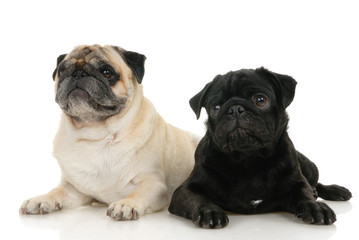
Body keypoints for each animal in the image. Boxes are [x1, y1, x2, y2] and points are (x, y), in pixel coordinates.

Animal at [19, 44, 200, 220]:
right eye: (62, 70)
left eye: (107, 72)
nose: (78, 73)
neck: (98, 135)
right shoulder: (75, 189)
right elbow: (58, 191)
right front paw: (41, 199)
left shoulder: (154, 185)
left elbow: (138, 193)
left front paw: (126, 204)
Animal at [169, 67, 352, 229]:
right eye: (215, 108)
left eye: (260, 100)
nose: (235, 109)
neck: (248, 158)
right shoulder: (185, 189)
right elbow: (198, 198)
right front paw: (209, 211)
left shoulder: (297, 183)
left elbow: (304, 194)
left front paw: (316, 207)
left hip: (311, 166)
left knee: (315, 183)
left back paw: (334, 190)